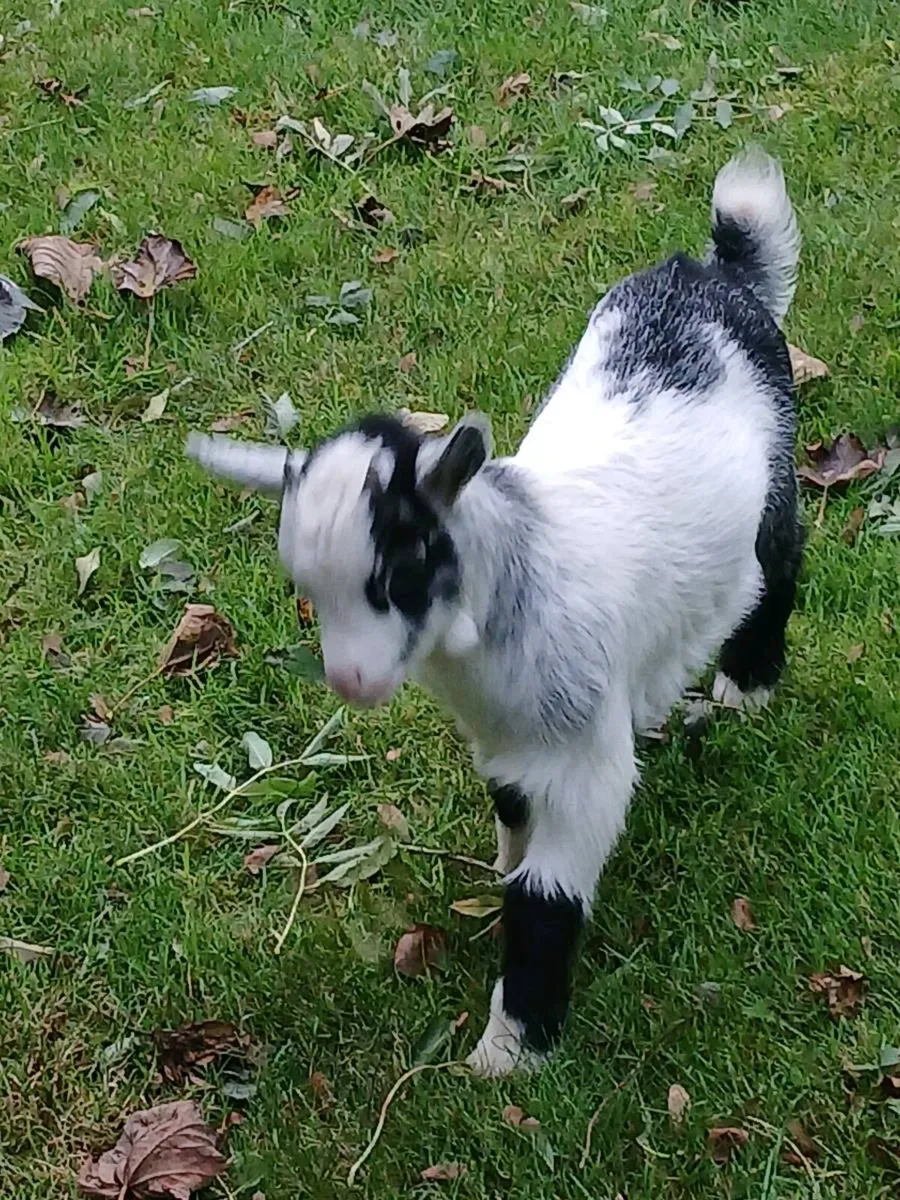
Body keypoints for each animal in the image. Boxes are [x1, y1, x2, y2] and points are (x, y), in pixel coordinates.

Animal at [186, 147, 803, 1077]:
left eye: (403, 570)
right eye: (305, 586)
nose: (352, 681)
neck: (519, 575)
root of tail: (712, 274)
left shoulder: (585, 761)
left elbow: (547, 898)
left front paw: (510, 1052)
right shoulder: (507, 738)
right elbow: (512, 809)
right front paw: (503, 864)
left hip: (779, 476)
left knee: (782, 563)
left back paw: (748, 685)